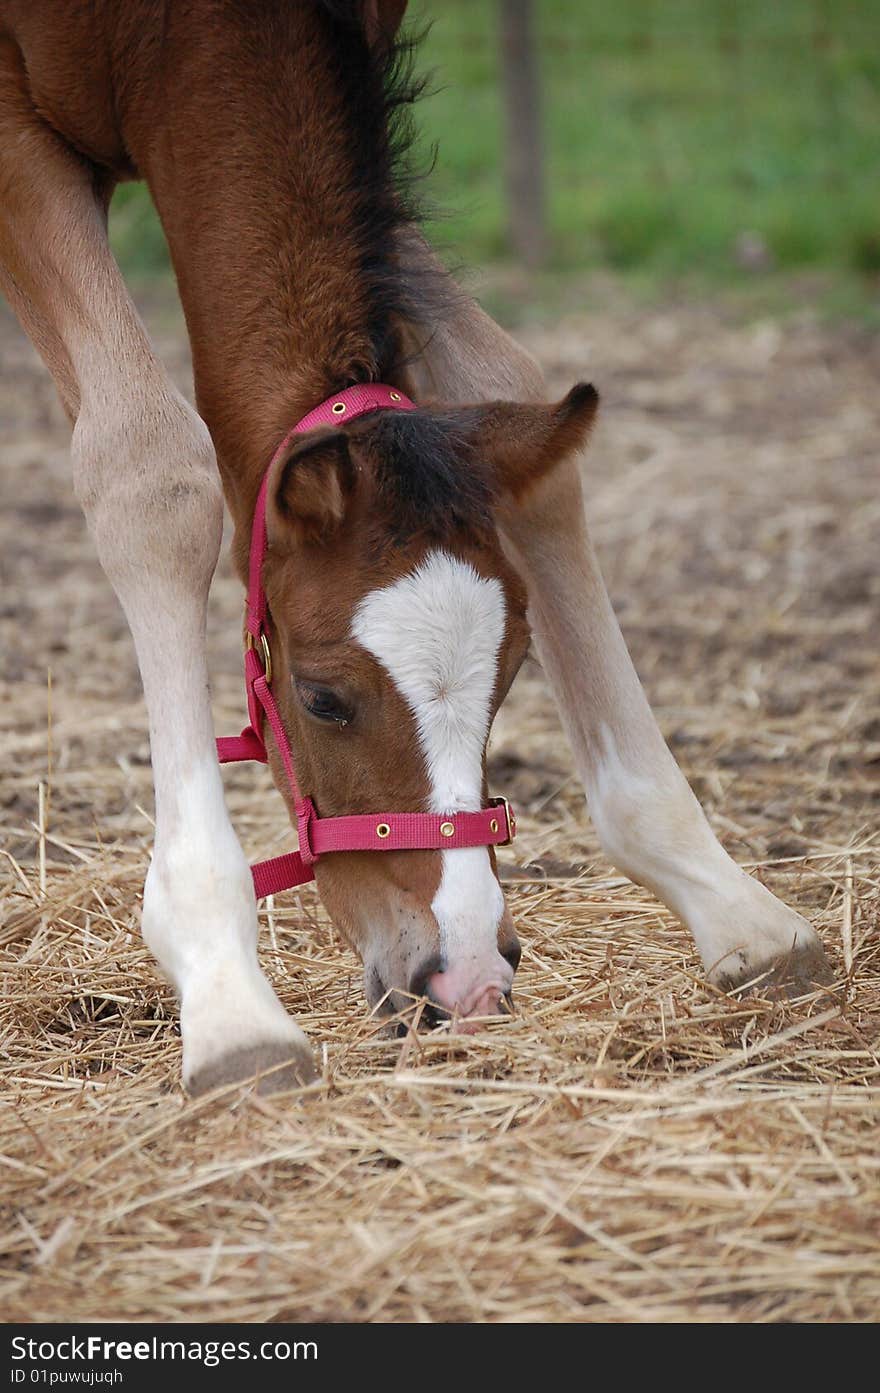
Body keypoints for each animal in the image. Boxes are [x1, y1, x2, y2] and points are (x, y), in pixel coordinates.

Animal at [0, 0, 829, 1092]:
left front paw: (734, 906)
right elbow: (150, 469)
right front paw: (227, 1000)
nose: (464, 977)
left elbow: (503, 376)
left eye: (514, 670)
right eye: (321, 699)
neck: (178, 37)